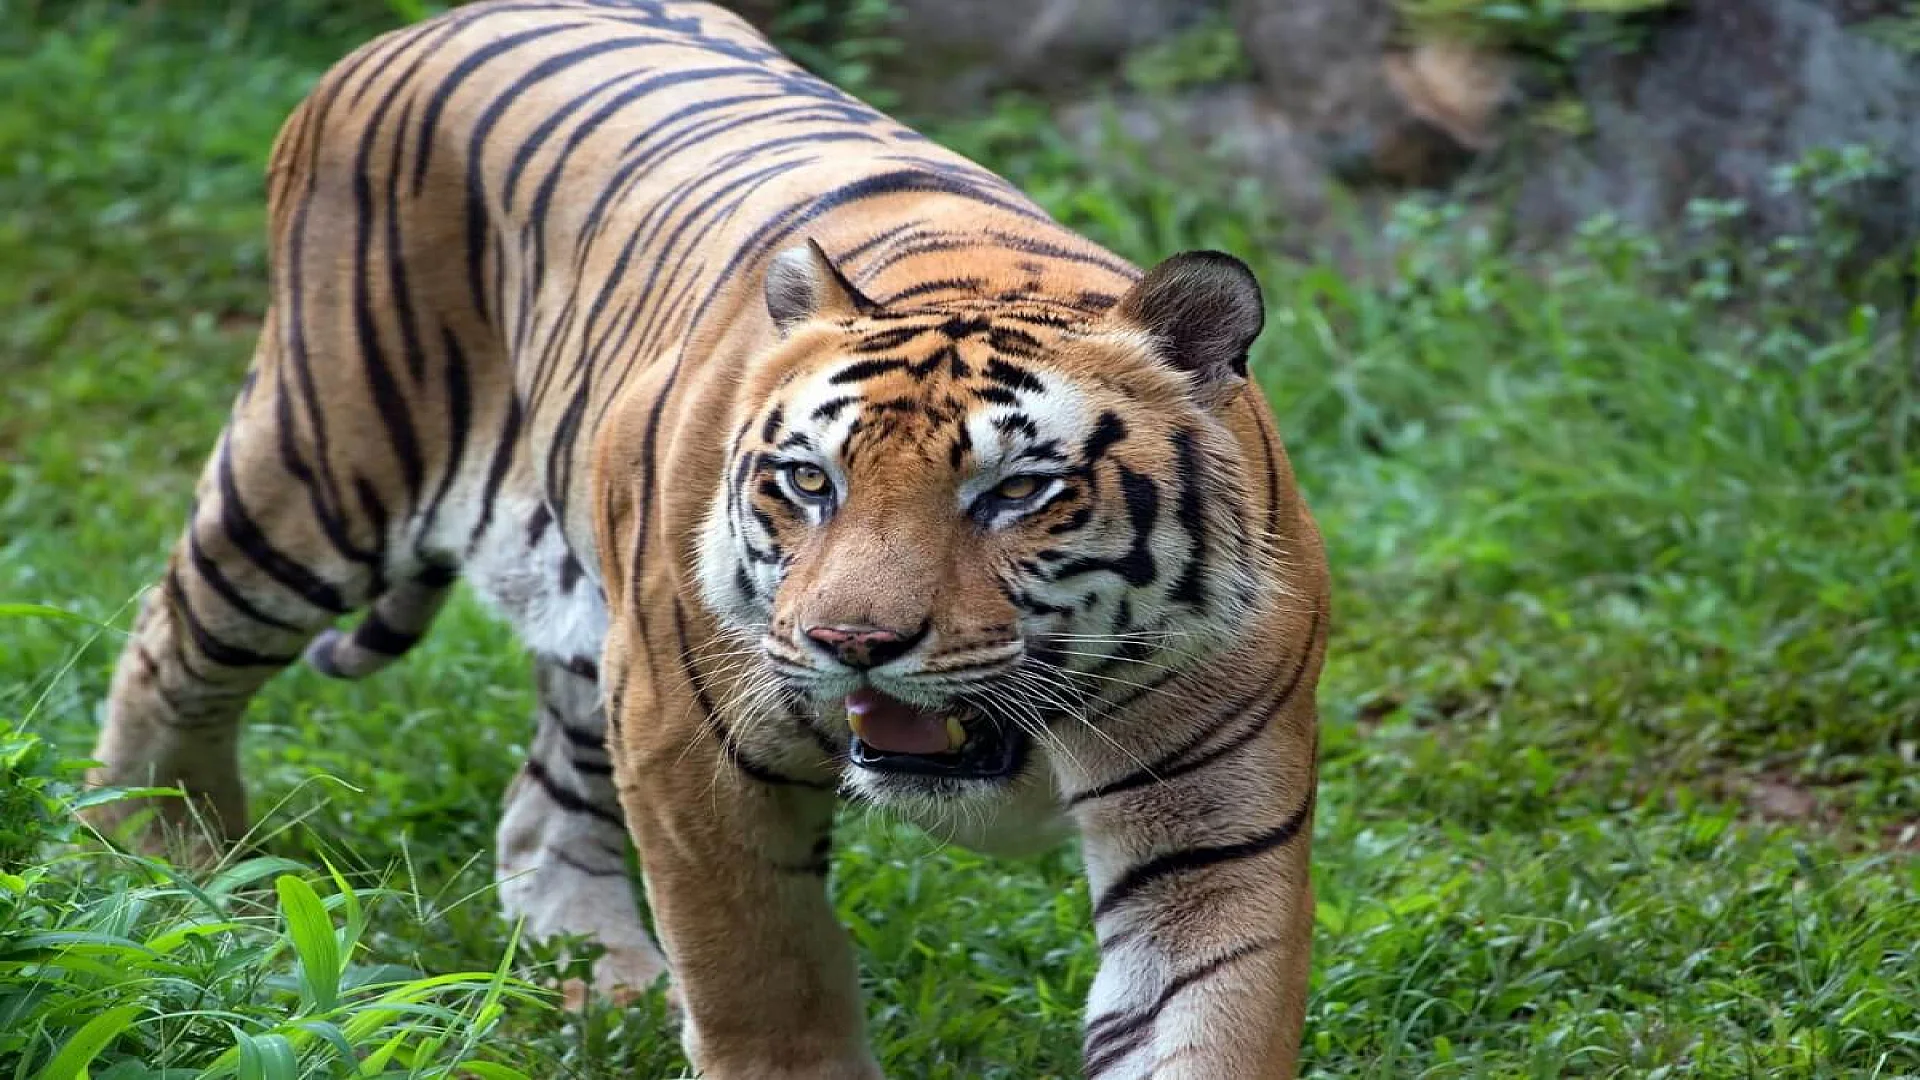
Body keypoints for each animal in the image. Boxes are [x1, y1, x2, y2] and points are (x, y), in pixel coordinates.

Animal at [84, 1, 1331, 1076]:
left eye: (1019, 492)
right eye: (810, 482)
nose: (852, 644)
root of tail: (431, 23)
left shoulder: (1214, 835)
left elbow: (1202, 1024)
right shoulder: (690, 747)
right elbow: (767, 988)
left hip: (583, 625)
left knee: (539, 809)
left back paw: (605, 988)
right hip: (325, 469)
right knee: (168, 646)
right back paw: (172, 879)